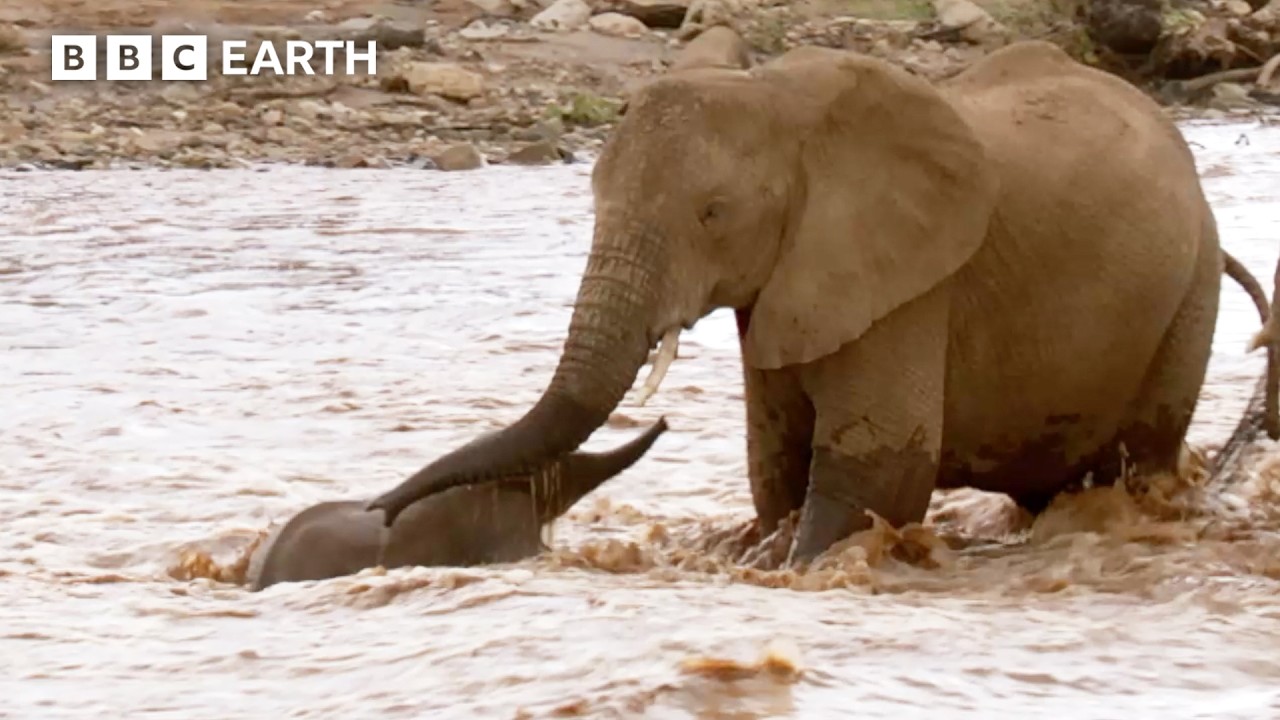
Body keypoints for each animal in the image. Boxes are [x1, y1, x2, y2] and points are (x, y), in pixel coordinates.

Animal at [365, 40, 1272, 566]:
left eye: (712, 215)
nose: (379, 514)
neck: (777, 100)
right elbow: (775, 461)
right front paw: (757, 553)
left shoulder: (909, 283)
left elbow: (880, 468)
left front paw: (791, 568)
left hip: (1188, 289)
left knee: (1137, 458)